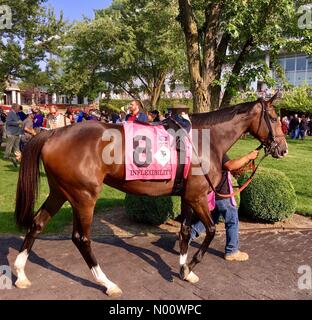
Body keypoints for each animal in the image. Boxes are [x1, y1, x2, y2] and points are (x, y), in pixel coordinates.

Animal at [14, 95, 288, 298]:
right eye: (275, 118)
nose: (283, 149)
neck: (202, 140)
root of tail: (53, 134)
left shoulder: (188, 195)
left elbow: (186, 231)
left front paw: (184, 269)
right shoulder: (198, 197)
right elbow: (210, 231)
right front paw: (190, 266)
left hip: (60, 192)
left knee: (37, 224)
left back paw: (20, 273)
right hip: (84, 197)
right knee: (81, 238)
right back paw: (107, 283)